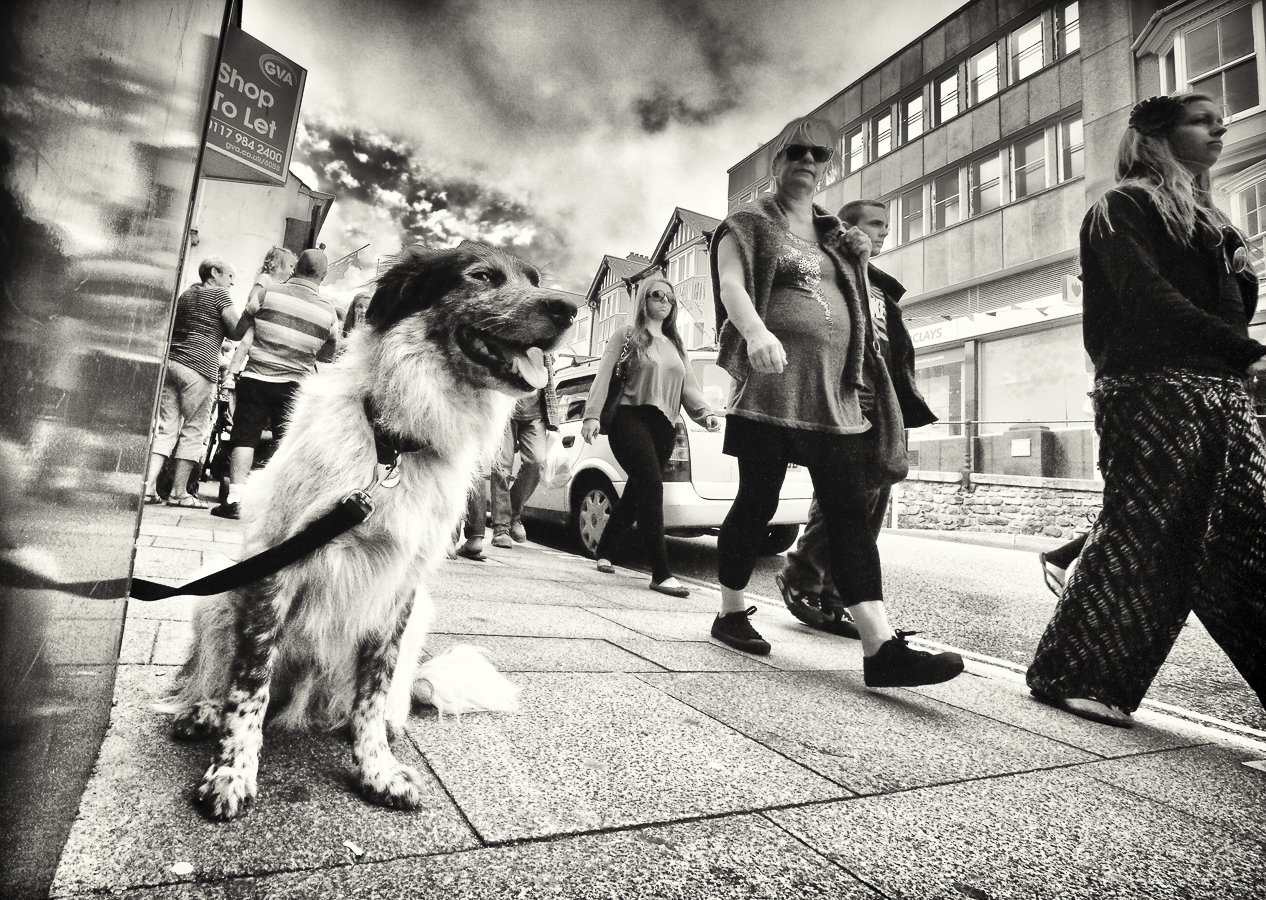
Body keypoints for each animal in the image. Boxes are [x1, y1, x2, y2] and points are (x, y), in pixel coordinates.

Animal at [158, 243, 579, 820]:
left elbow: (373, 692)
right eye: (483, 276)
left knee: (372, 702)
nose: (570, 308)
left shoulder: (399, 588)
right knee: (215, 678)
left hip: (417, 615)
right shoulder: (277, 567)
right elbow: (249, 686)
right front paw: (232, 773)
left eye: (535, 280)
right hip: (220, 588)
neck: (393, 445)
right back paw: (203, 712)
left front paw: (376, 769)